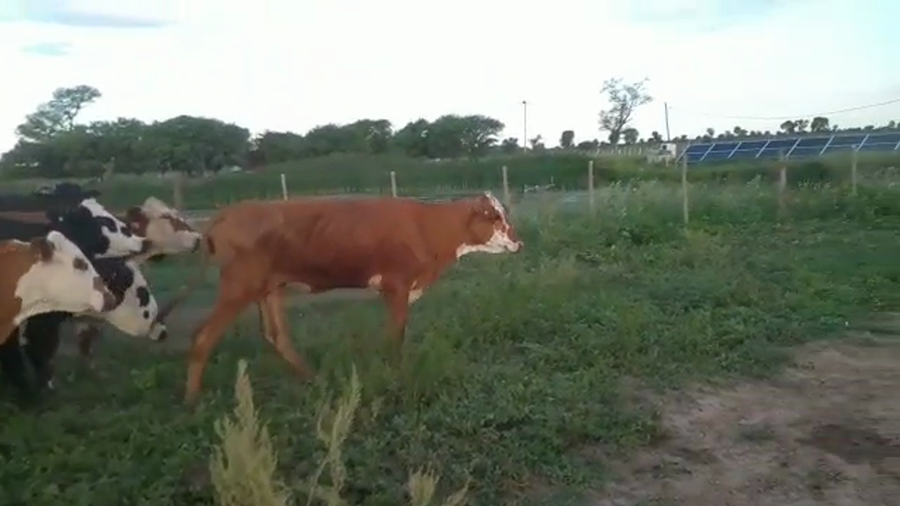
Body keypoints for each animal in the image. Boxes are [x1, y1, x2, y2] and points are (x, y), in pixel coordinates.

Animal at [158, 191, 523, 406]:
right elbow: (395, 337)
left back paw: (312, 378)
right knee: (203, 336)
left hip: (268, 287)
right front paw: (396, 376)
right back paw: (192, 400)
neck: (427, 227)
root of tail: (231, 211)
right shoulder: (397, 286)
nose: (519, 242)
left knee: (277, 336)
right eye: (494, 217)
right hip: (239, 286)